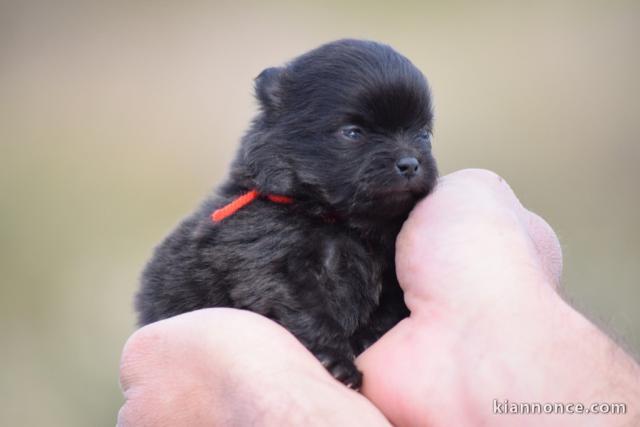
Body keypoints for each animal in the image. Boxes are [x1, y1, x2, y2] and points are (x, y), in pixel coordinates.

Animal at [137, 38, 438, 390]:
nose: (410, 163)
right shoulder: (275, 267)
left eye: (424, 134)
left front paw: (365, 339)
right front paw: (337, 362)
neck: (335, 220)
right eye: (352, 133)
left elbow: (388, 306)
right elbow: (309, 312)